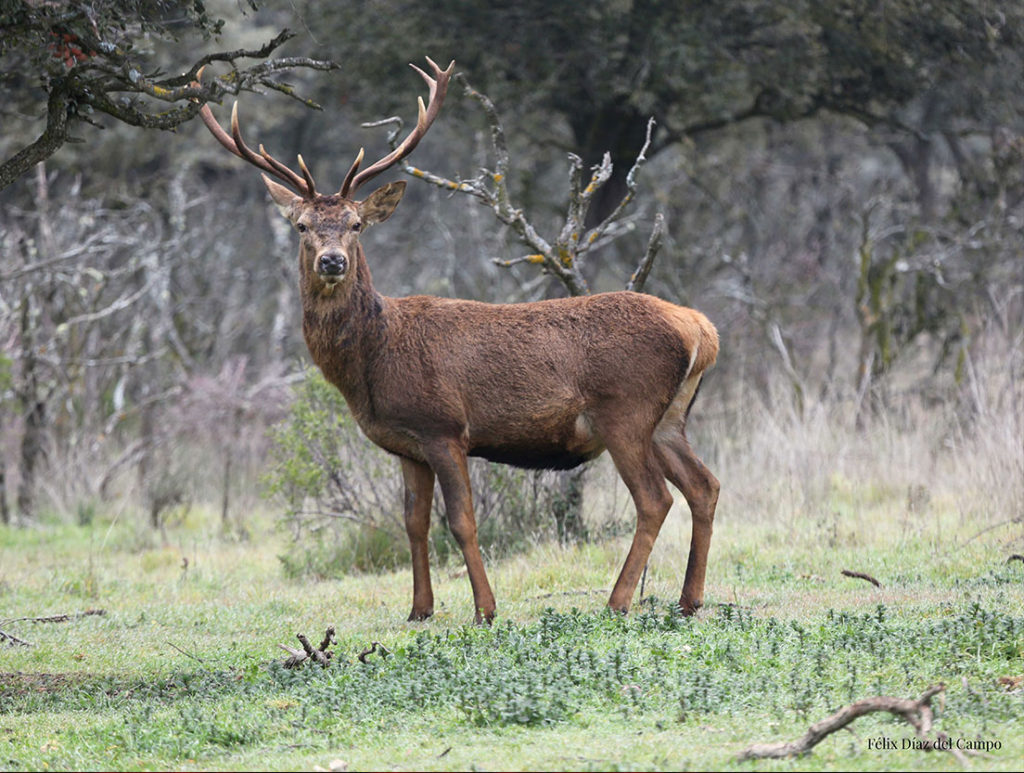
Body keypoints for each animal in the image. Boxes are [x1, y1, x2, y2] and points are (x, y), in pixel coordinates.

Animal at [195, 58, 716, 630]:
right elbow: (413, 523)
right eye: (303, 225)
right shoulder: (406, 444)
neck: (373, 360)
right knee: (704, 486)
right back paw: (689, 601)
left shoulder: (443, 426)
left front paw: (485, 609)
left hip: (625, 409)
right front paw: (419, 609)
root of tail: (700, 328)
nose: (333, 261)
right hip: (669, 417)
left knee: (655, 499)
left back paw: (618, 601)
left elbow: (462, 521)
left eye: (355, 224)